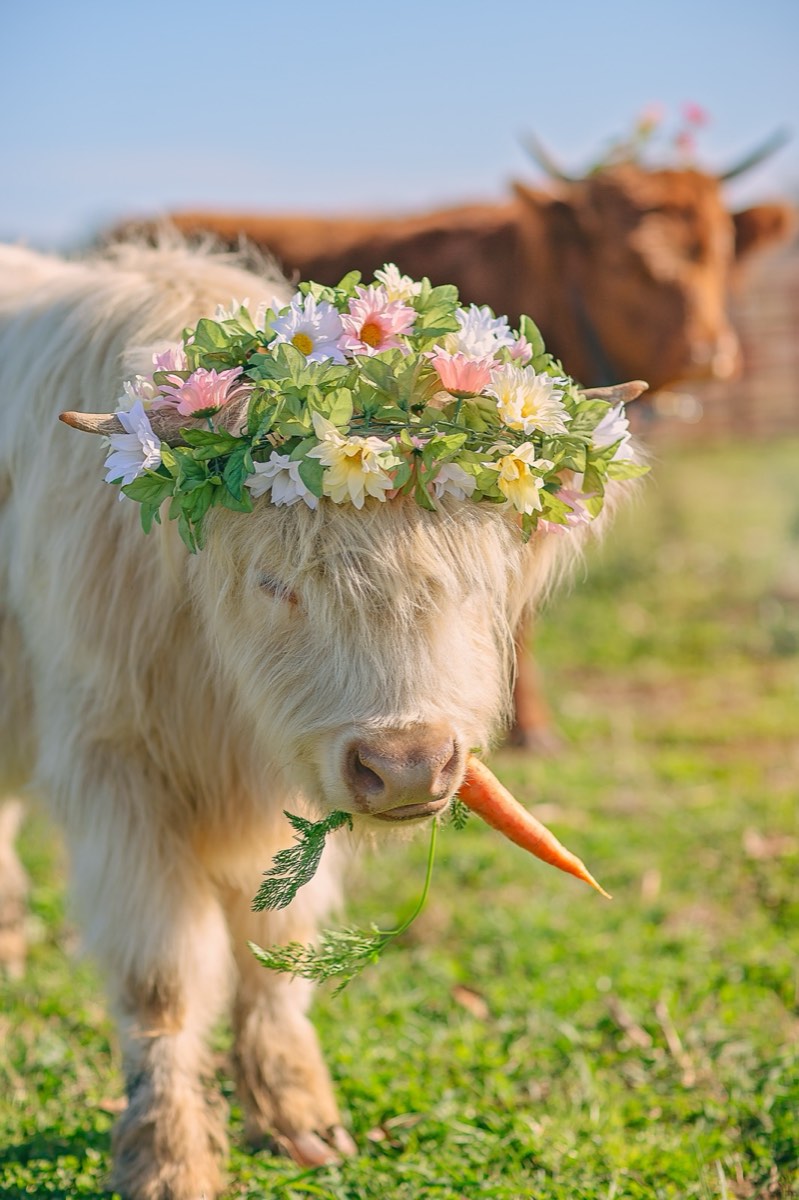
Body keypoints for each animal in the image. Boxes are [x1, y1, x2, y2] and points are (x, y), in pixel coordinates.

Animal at [0, 240, 640, 1200]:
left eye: (469, 579)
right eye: (275, 583)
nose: (408, 764)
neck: (221, 699)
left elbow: (275, 949)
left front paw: (297, 1112)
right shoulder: (115, 771)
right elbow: (164, 978)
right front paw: (167, 1156)